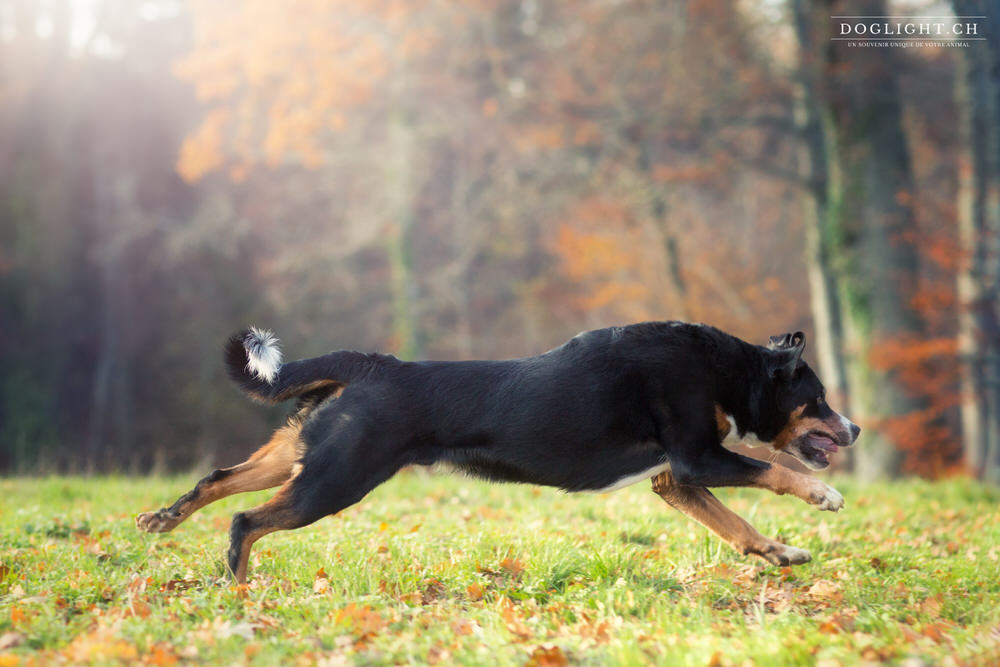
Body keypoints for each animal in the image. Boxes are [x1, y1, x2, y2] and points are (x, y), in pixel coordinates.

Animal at [139, 320, 860, 580]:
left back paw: (160, 520)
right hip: (334, 479)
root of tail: (370, 364)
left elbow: (736, 525)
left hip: (300, 457)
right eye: (820, 397)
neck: (724, 371)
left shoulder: (675, 480)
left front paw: (780, 552)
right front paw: (824, 495)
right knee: (245, 520)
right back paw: (238, 583)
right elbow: (777, 469)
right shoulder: (696, 460)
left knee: (216, 480)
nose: (852, 428)